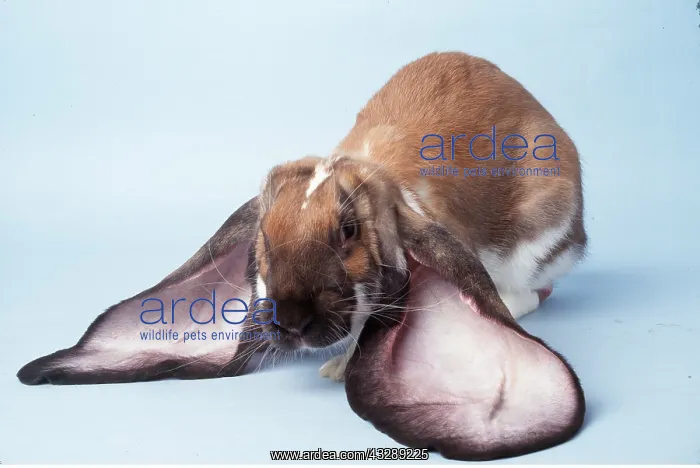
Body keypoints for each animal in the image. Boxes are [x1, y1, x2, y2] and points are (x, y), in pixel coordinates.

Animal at [17, 51, 586, 461]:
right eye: (263, 239)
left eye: (348, 232)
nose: (290, 322)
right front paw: (335, 366)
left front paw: (337, 369)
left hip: (537, 240)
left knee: (533, 291)